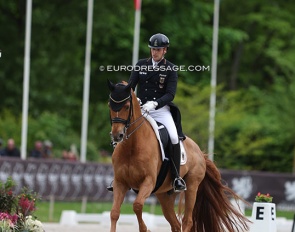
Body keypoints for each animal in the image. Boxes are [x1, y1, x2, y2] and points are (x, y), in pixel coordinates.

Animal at [107, 80, 251, 232]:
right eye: (110, 105)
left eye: (127, 106)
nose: (117, 135)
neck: (132, 146)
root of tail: (200, 152)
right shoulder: (120, 183)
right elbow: (114, 213)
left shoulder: (148, 181)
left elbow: (137, 205)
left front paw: (145, 229)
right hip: (164, 194)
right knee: (175, 224)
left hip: (192, 186)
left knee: (187, 221)